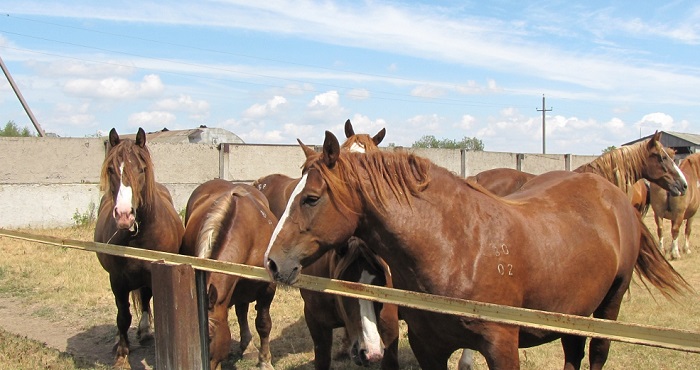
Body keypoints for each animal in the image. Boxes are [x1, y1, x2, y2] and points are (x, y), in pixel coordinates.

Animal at [93, 128, 186, 370]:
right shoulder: (116, 280)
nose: (125, 215)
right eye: (111, 169)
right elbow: (123, 316)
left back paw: (144, 331)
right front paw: (122, 354)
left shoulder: (157, 274)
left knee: (144, 298)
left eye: (141, 169)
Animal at [264, 132, 688, 370]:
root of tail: (613, 195)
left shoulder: (502, 348)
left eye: (311, 198)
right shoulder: (428, 349)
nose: (272, 261)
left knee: (597, 353)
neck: (459, 249)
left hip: (609, 305)